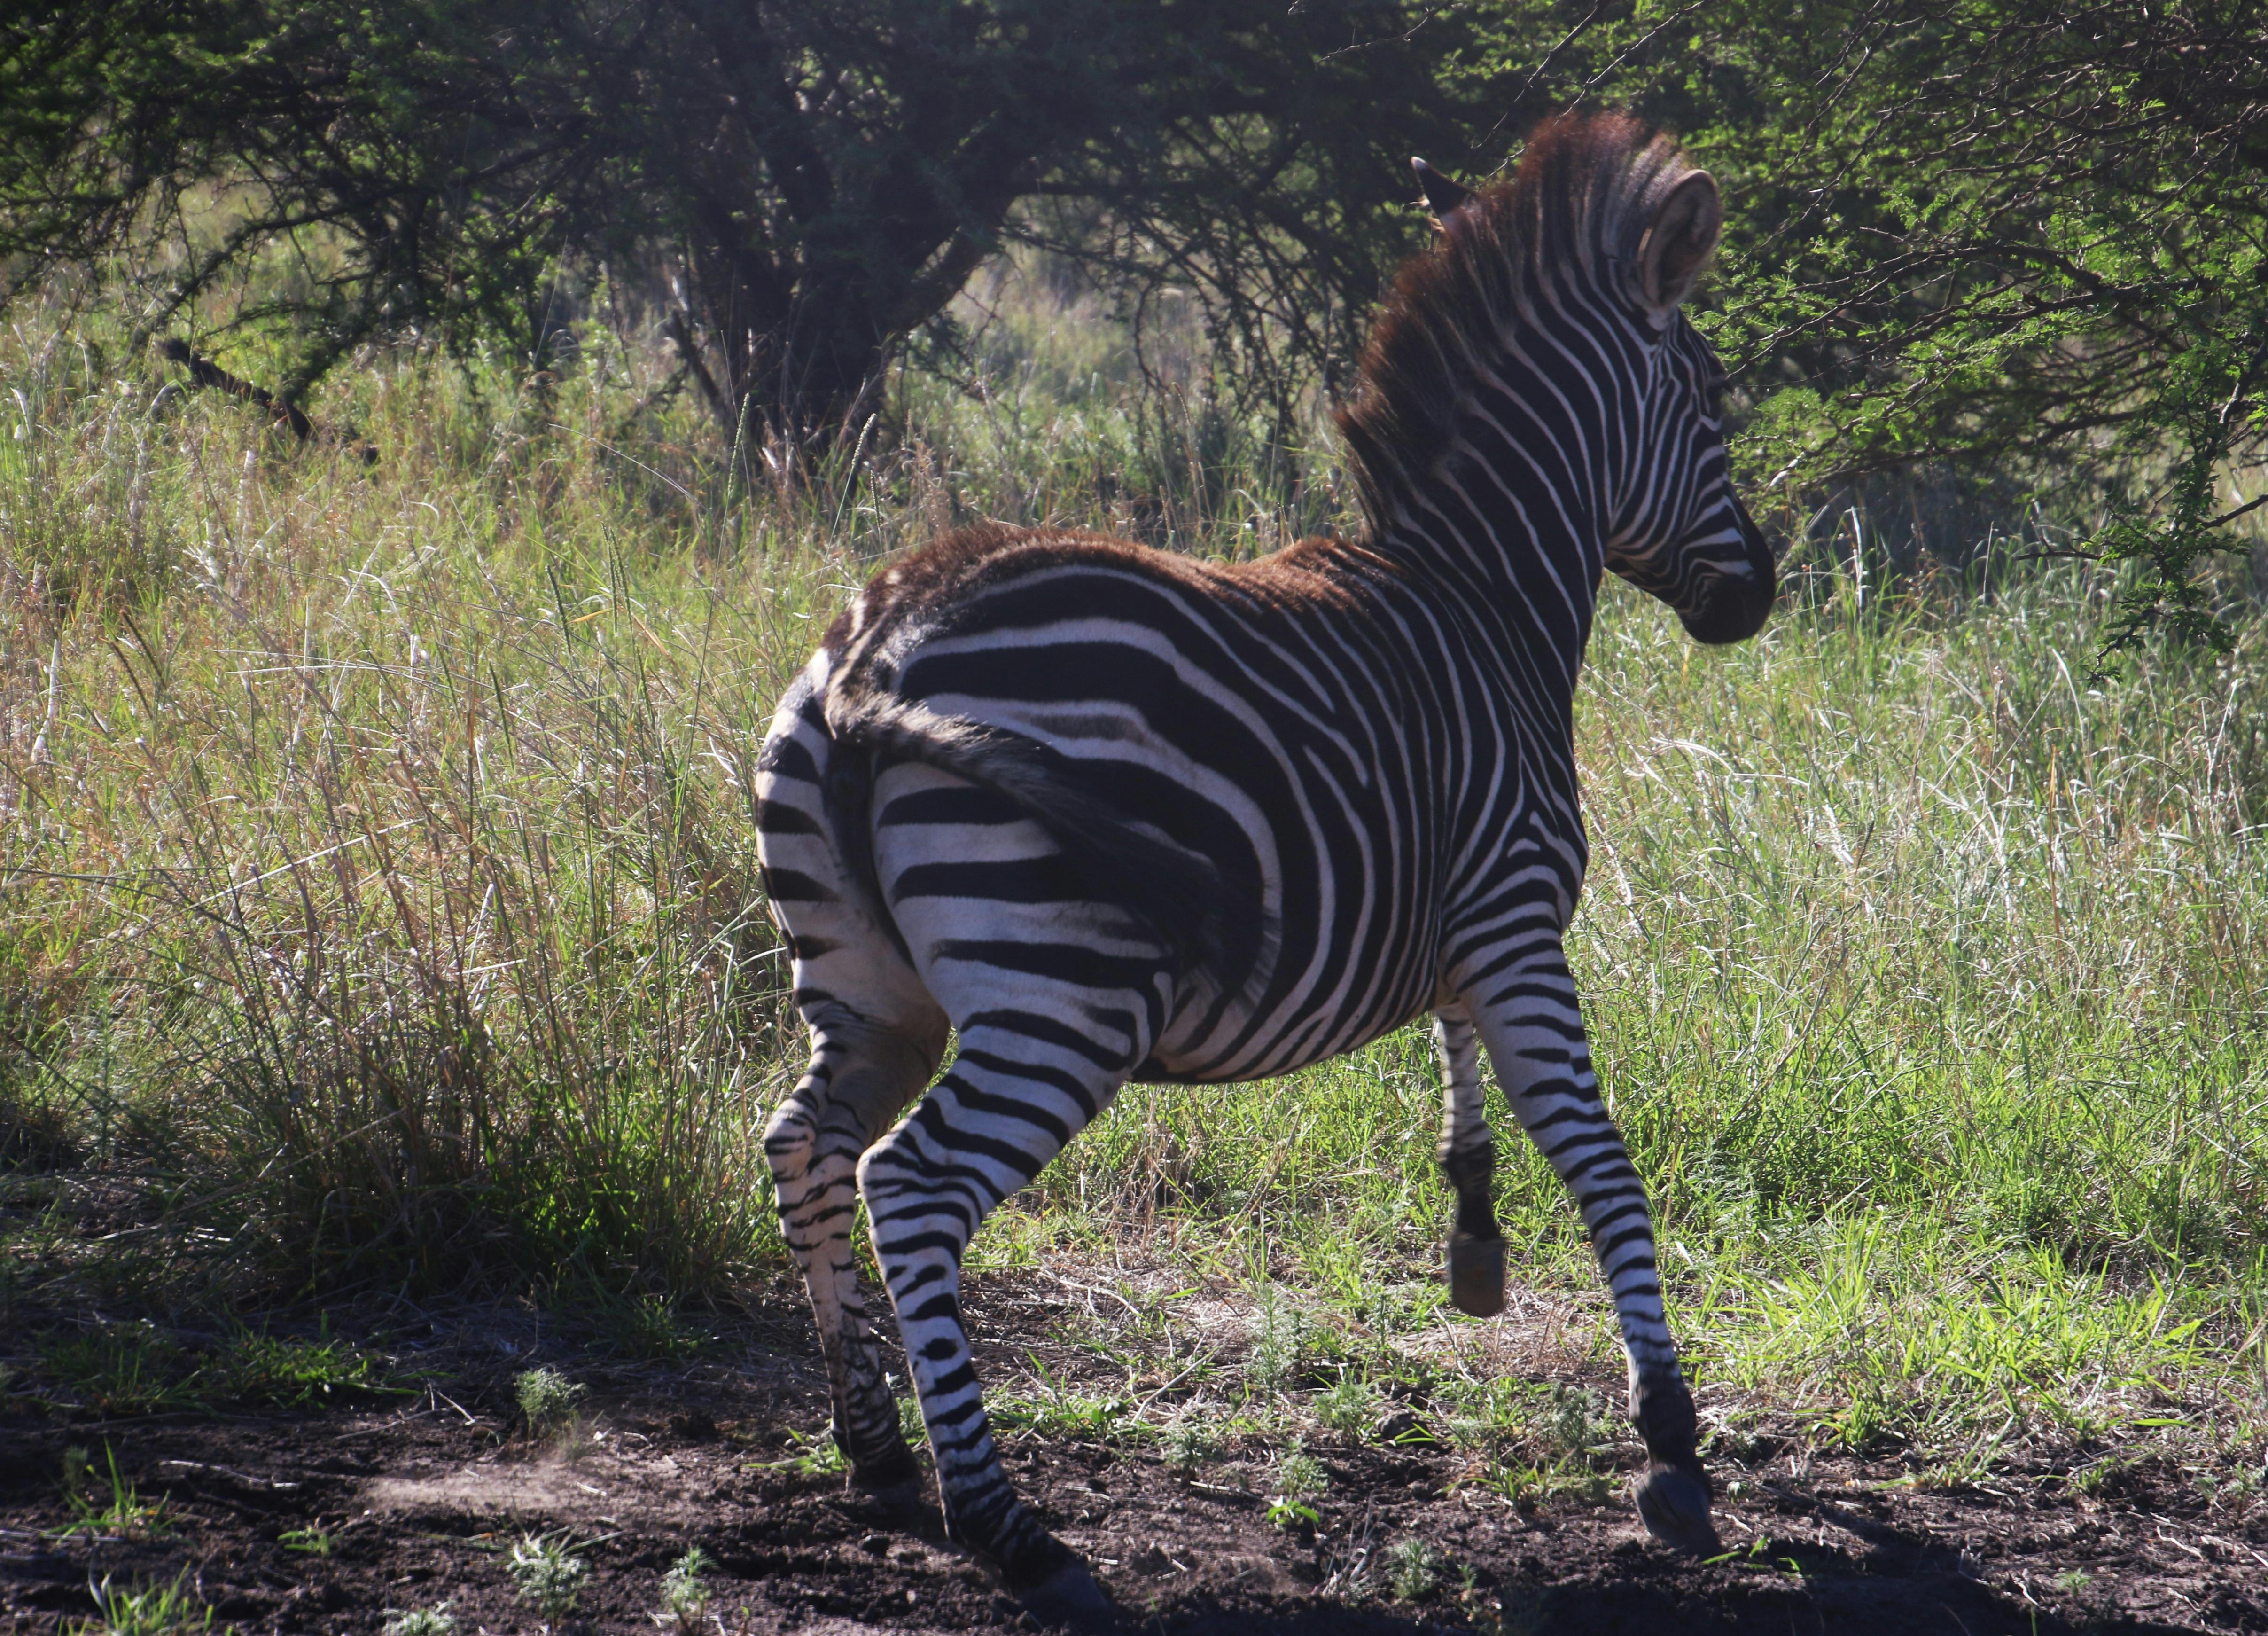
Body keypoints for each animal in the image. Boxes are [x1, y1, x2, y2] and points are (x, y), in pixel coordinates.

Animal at [754, 110, 1774, 1620]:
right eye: (1711, 408)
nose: (1752, 596)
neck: (1485, 597)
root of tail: (875, 649)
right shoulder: (1519, 919)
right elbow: (1598, 1155)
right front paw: (1670, 1443)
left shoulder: (1458, 920)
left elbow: (1466, 1079)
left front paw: (1475, 1241)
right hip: (1059, 993)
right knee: (912, 1187)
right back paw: (1008, 1527)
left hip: (869, 990)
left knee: (808, 1147)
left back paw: (873, 1450)